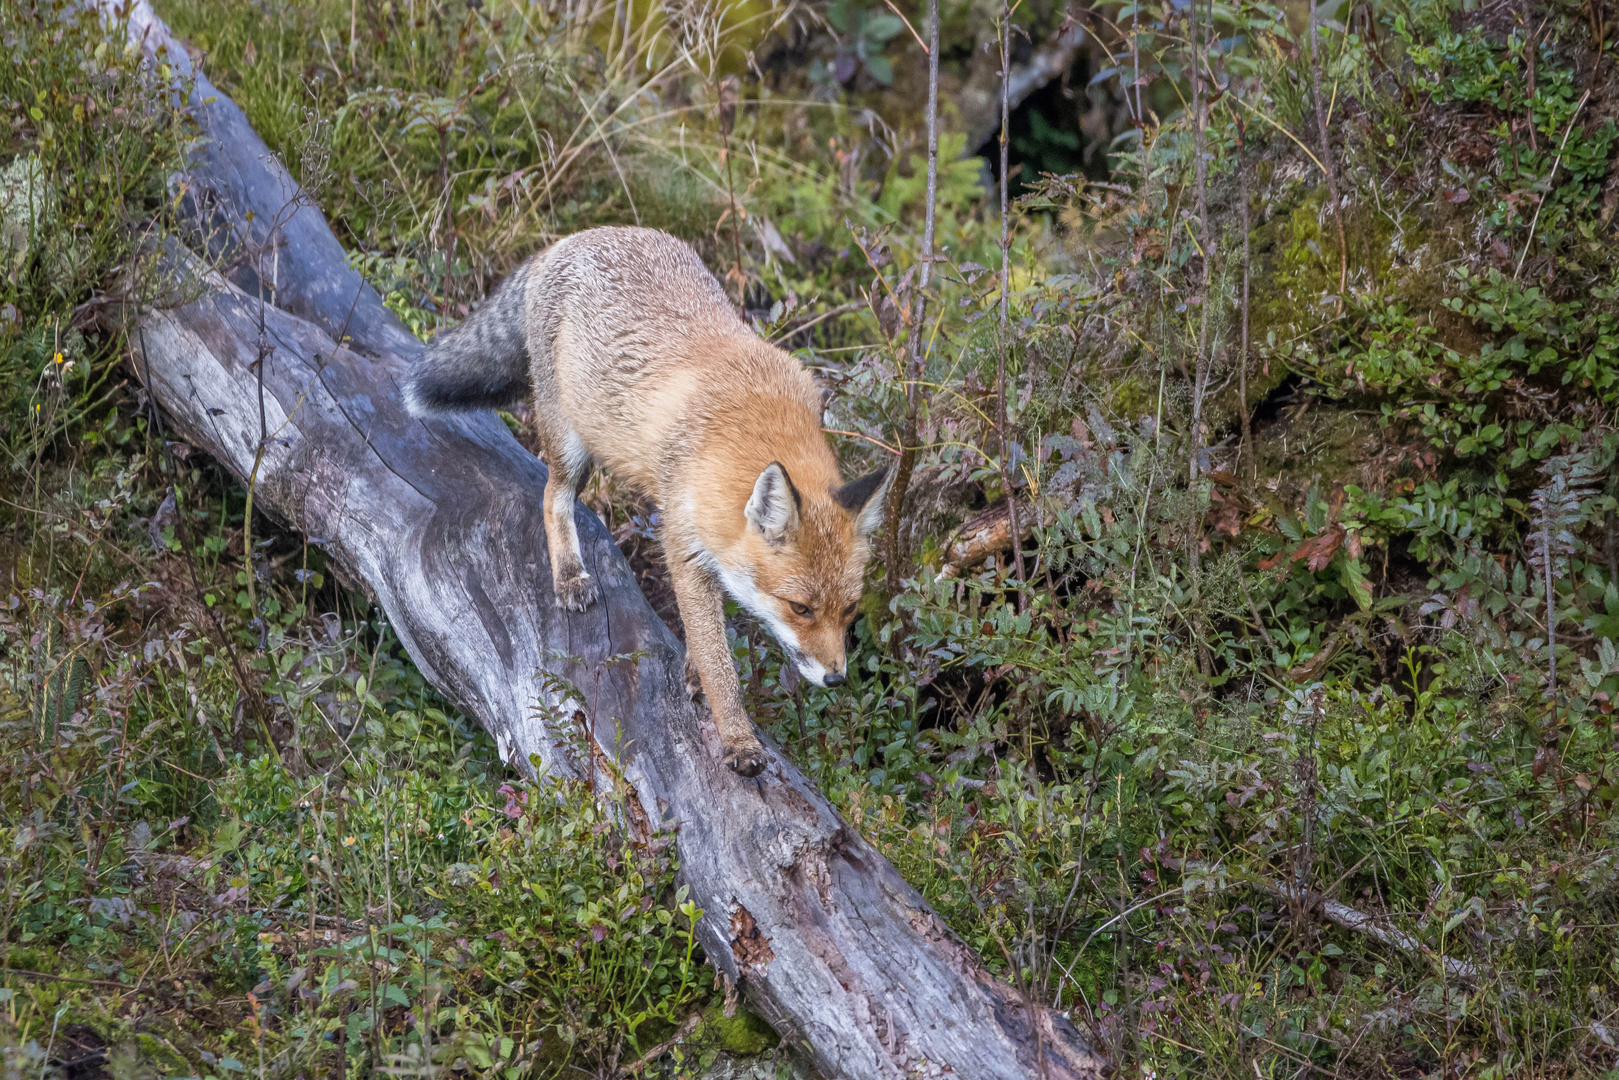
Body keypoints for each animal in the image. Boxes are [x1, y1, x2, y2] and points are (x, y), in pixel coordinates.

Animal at [401, 226, 887, 777]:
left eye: (850, 610)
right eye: (800, 608)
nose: (836, 679)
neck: (750, 418)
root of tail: (572, 239)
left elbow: (708, 635)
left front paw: (696, 672)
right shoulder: (684, 545)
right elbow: (720, 662)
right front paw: (738, 739)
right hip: (571, 442)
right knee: (551, 496)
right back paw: (570, 575)